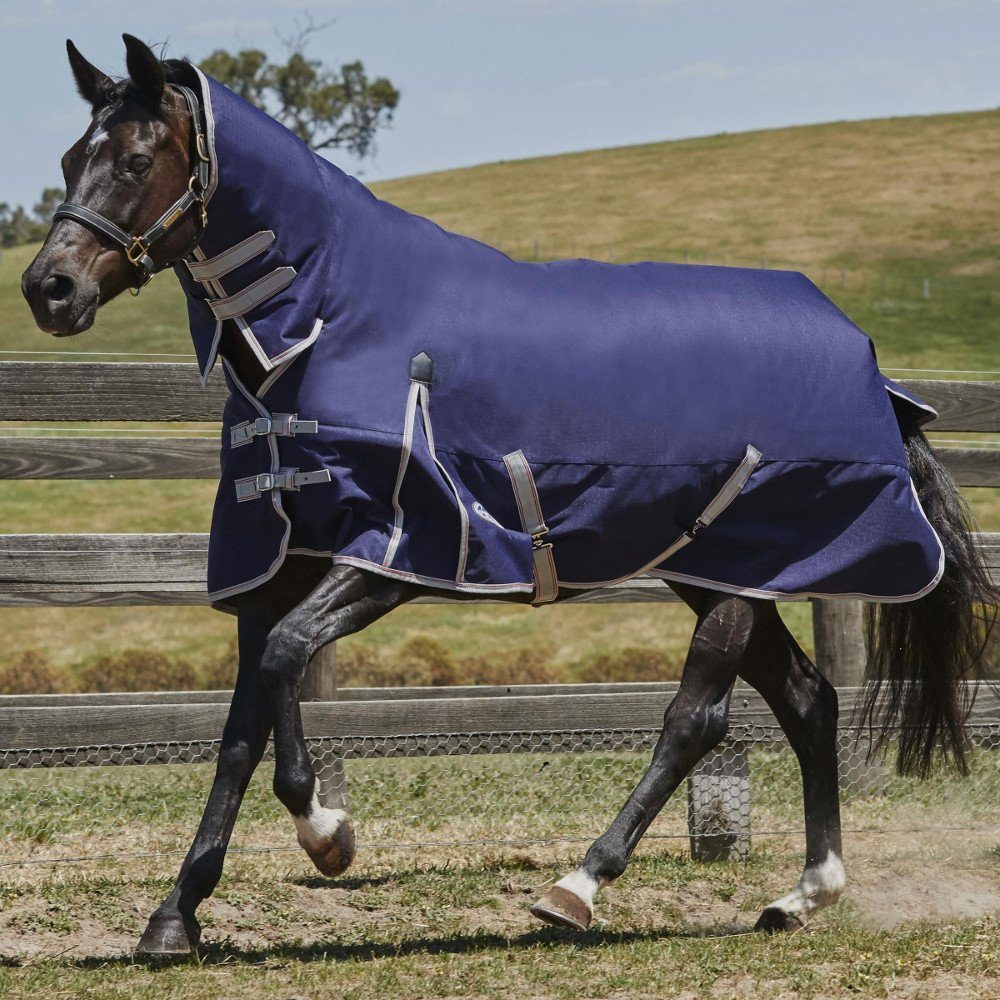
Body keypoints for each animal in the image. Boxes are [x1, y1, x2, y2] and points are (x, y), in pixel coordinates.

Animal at [21, 35, 996, 956]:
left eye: (136, 160)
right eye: (70, 156)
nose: (48, 289)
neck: (330, 322)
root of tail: (869, 364)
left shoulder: (399, 551)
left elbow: (284, 667)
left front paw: (327, 834)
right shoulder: (282, 556)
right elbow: (247, 716)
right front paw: (178, 915)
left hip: (743, 576)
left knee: (699, 717)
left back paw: (579, 886)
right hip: (723, 570)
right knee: (807, 699)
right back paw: (802, 895)